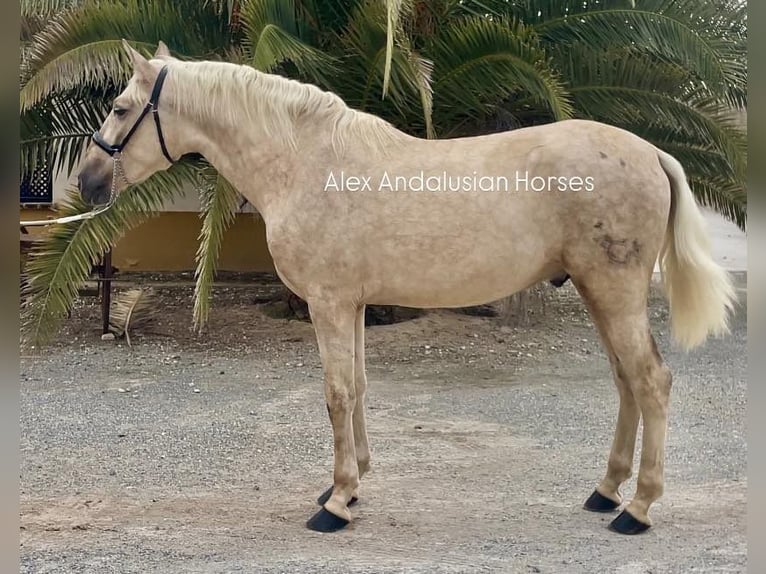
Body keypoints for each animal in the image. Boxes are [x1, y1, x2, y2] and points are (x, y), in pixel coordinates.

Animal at [78, 41, 736, 540]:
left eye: (120, 107)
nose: (87, 181)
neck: (305, 164)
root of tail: (650, 151)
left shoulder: (328, 304)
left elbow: (337, 394)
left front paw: (337, 503)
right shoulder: (352, 305)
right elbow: (359, 388)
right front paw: (351, 483)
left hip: (614, 292)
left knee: (651, 381)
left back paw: (638, 508)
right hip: (600, 295)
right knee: (628, 382)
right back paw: (606, 491)